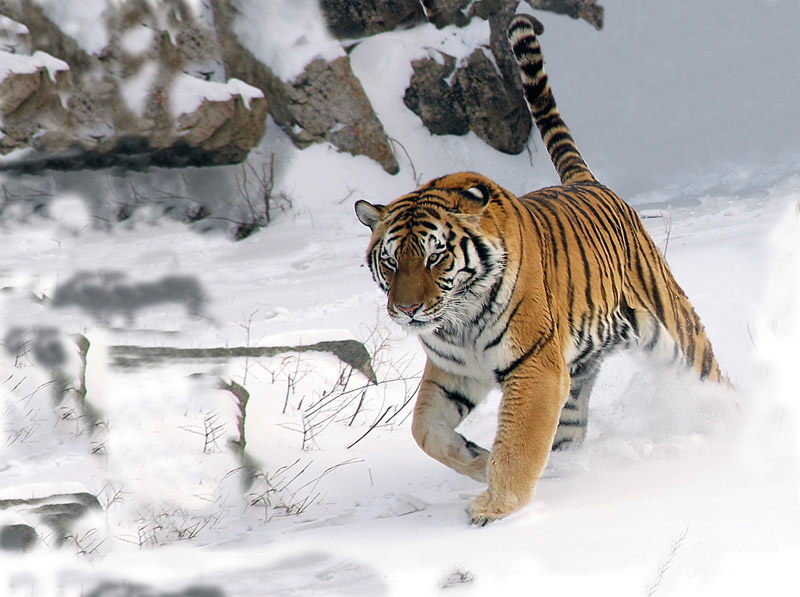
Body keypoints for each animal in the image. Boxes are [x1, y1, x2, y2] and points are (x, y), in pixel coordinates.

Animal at [354, 14, 728, 524]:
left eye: (435, 256)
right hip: (578, 372)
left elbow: (518, 442)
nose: (408, 310)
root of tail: (588, 181)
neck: (458, 321)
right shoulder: (453, 371)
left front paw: (496, 507)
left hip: (675, 334)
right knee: (569, 429)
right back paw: (566, 470)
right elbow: (425, 430)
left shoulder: (534, 367)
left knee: (713, 380)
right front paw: (479, 460)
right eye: (390, 262)